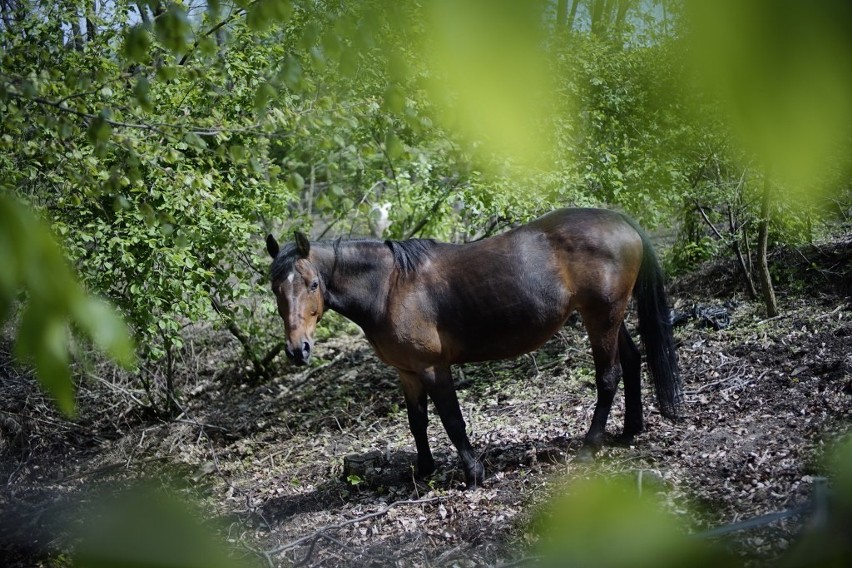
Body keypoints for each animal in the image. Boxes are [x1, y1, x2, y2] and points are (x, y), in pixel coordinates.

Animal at [262, 209, 684, 488]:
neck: (390, 287)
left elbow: (452, 420)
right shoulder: (407, 372)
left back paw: (590, 445)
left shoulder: (433, 368)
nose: (298, 350)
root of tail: (620, 221)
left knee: (608, 376)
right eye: (276, 289)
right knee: (631, 360)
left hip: (602, 317)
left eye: (312, 284)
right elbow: (417, 422)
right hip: (607, 316)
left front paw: (473, 472)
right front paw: (424, 470)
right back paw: (630, 430)